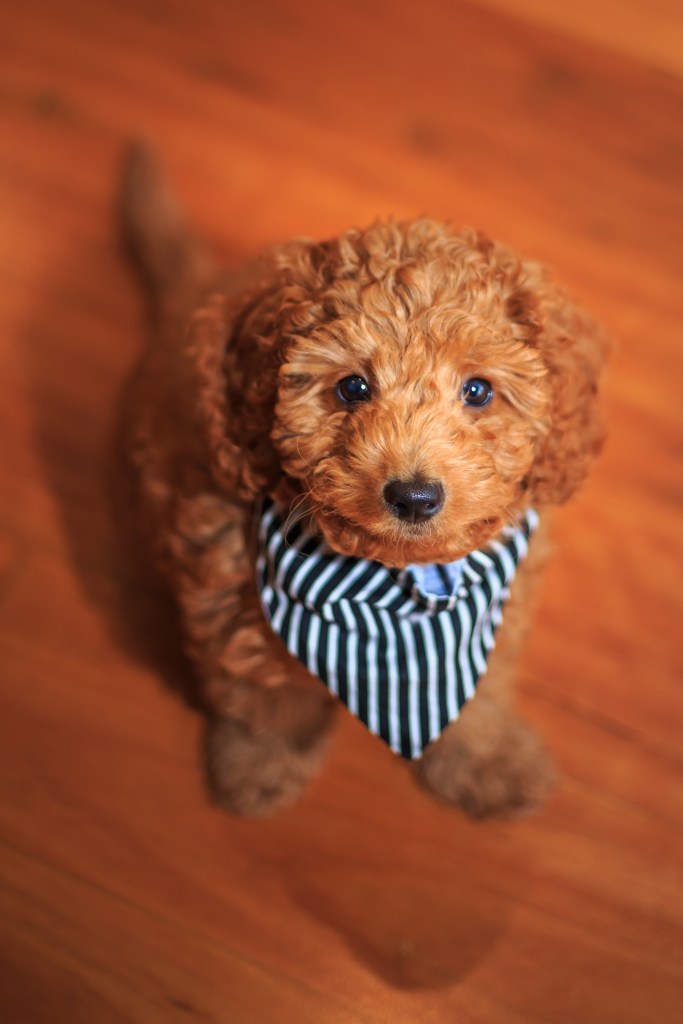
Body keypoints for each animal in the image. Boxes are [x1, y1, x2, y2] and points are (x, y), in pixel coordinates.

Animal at [118, 144, 602, 819]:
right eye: (352, 387)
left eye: (478, 392)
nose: (415, 496)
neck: (403, 585)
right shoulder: (227, 580)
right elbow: (261, 690)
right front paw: (260, 764)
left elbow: (481, 688)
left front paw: (486, 760)